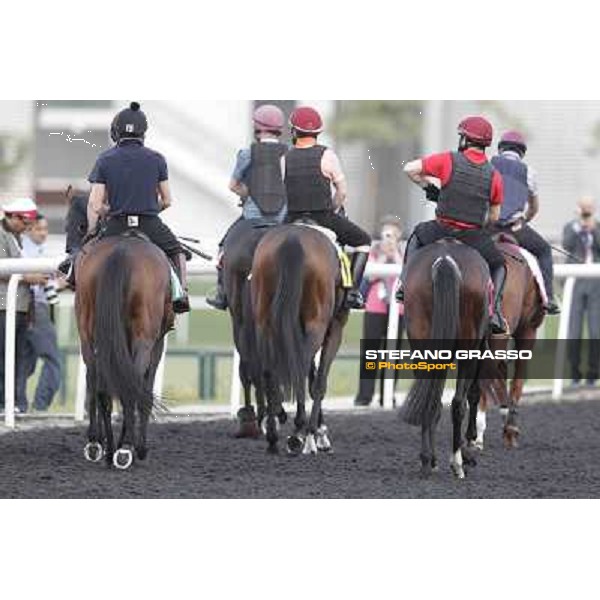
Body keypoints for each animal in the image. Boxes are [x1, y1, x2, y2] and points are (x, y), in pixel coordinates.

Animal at [75, 232, 172, 472]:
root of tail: (122, 251)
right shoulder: (157, 343)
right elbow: (144, 388)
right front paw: (139, 448)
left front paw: (99, 443)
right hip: (144, 337)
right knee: (132, 385)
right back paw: (126, 448)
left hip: (90, 334)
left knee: (99, 387)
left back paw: (106, 449)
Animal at [251, 225, 350, 454]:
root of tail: (293, 239)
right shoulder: (333, 330)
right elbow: (319, 382)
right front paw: (315, 434)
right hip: (317, 324)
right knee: (301, 367)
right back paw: (299, 433)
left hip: (263, 323)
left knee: (268, 371)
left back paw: (273, 437)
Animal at [404, 239, 492, 478]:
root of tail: (445, 259)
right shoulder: (479, 348)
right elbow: (472, 394)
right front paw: (469, 447)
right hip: (469, 346)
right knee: (458, 403)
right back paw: (457, 462)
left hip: (421, 341)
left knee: (430, 398)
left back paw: (427, 459)